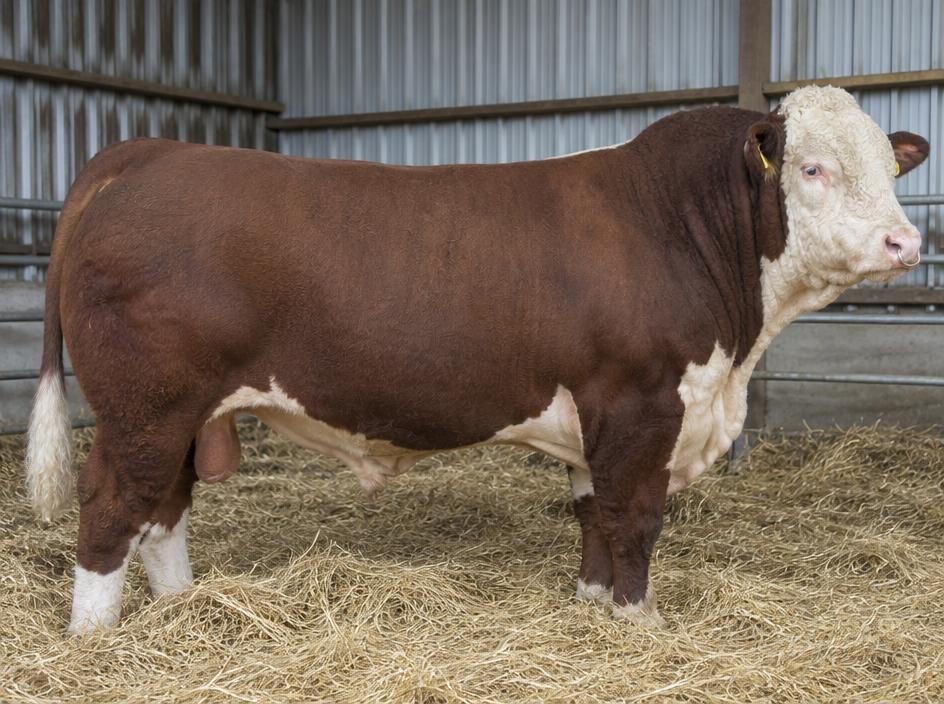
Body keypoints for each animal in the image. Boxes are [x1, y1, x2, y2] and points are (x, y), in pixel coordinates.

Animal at [25, 86, 929, 633]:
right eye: (812, 168)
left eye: (890, 166)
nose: (905, 241)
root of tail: (148, 152)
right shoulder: (642, 404)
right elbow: (634, 518)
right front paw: (641, 623)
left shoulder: (598, 417)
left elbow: (593, 516)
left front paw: (592, 605)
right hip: (145, 406)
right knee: (113, 506)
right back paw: (95, 636)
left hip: (184, 414)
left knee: (164, 512)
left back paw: (189, 607)